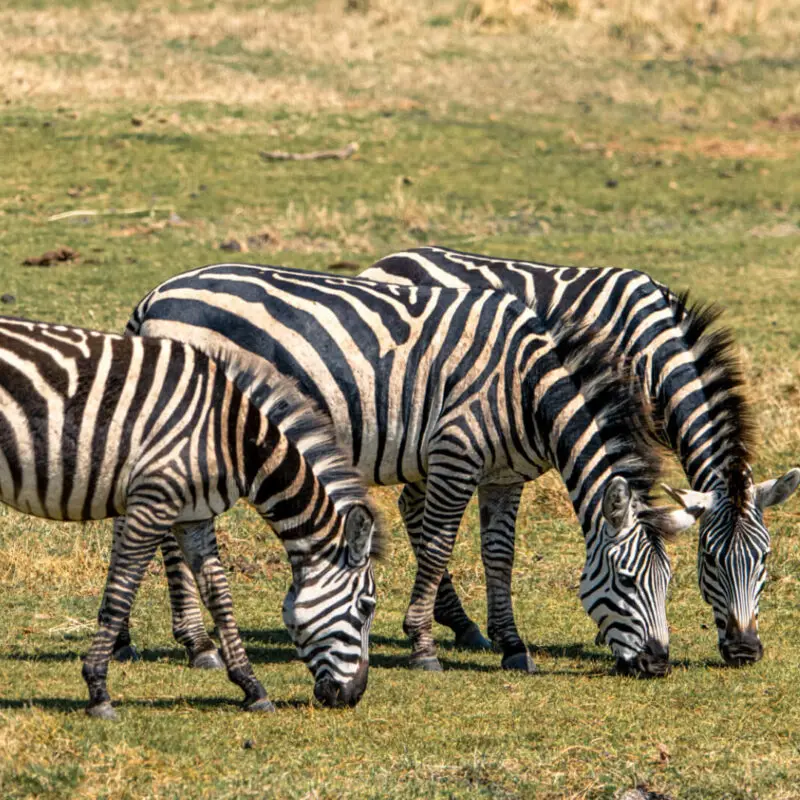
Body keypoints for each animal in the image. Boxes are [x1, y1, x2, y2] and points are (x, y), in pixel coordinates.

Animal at [0, 315, 381, 718]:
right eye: (366, 607)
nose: (353, 696)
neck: (234, 439)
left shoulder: (193, 516)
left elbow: (219, 596)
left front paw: (252, 687)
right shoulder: (154, 500)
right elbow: (121, 592)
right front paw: (98, 690)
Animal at [121, 263, 706, 676]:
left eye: (670, 582)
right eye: (627, 579)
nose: (658, 665)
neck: (525, 388)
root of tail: (156, 295)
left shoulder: (503, 476)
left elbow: (499, 555)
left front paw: (511, 644)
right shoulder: (455, 453)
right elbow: (439, 546)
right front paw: (424, 644)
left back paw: (135, 641)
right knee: (168, 536)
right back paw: (197, 644)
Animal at [360, 245, 800, 666]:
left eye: (764, 557)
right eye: (709, 558)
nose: (744, 651)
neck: (653, 350)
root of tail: (391, 259)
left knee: (410, 502)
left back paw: (457, 620)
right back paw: (457, 621)